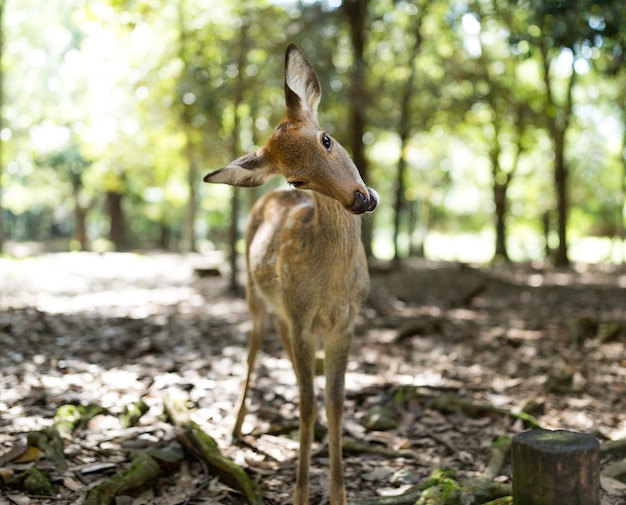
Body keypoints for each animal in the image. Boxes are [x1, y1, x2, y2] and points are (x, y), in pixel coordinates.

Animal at [204, 44, 376, 504]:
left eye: (326, 138)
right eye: (298, 179)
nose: (360, 199)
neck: (331, 287)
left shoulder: (346, 323)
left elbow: (334, 401)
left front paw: (339, 493)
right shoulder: (302, 319)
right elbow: (308, 402)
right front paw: (300, 492)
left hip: (285, 314)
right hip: (256, 298)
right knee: (252, 352)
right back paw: (236, 426)